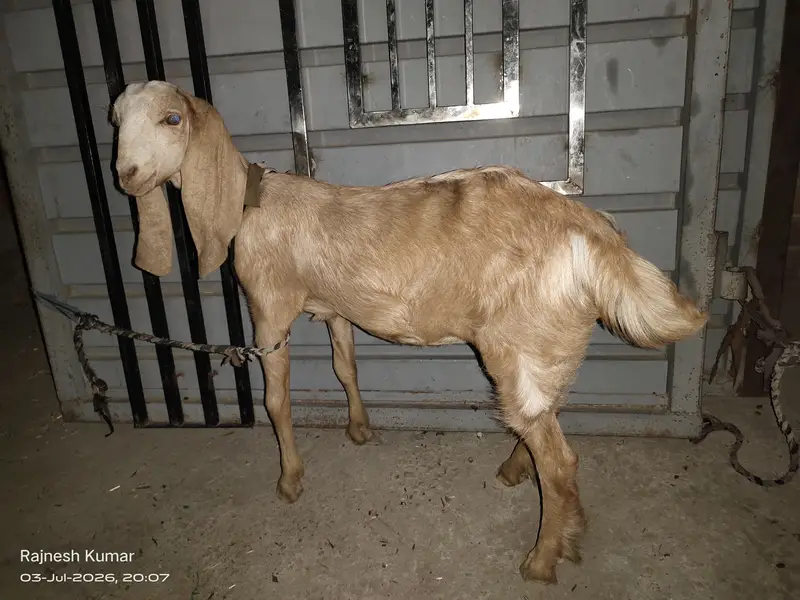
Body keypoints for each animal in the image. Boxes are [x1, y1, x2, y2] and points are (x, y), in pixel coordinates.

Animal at [111, 80, 707, 584]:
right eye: (115, 119)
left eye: (171, 118)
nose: (126, 175)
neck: (249, 202)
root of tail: (594, 237)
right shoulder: (335, 310)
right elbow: (344, 367)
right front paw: (358, 428)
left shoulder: (270, 307)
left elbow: (276, 399)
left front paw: (289, 479)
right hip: (546, 346)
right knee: (544, 417)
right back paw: (521, 474)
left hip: (521, 342)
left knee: (560, 461)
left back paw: (540, 560)